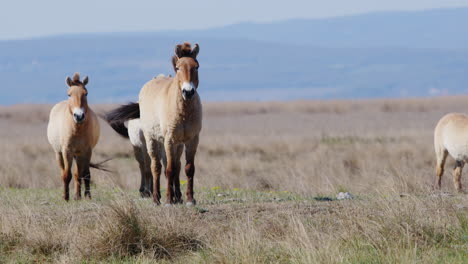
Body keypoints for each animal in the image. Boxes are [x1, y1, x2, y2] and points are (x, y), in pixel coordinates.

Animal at [47, 72, 100, 200]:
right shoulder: (67, 151)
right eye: (69, 94)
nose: (79, 116)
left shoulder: (86, 151)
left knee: (78, 174)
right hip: (59, 154)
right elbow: (67, 175)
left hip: (78, 155)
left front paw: (87, 196)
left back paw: (77, 196)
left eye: (86, 93)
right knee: (64, 172)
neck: (77, 130)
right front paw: (66, 197)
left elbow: (85, 174)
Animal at [107, 42, 202, 205]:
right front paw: (169, 200)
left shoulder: (191, 140)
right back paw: (156, 197)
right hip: (150, 141)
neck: (183, 112)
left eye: (196, 66)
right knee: (153, 167)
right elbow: (168, 169)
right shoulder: (169, 140)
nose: (188, 92)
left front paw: (190, 199)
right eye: (178, 68)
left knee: (170, 166)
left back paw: (175, 196)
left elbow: (188, 168)